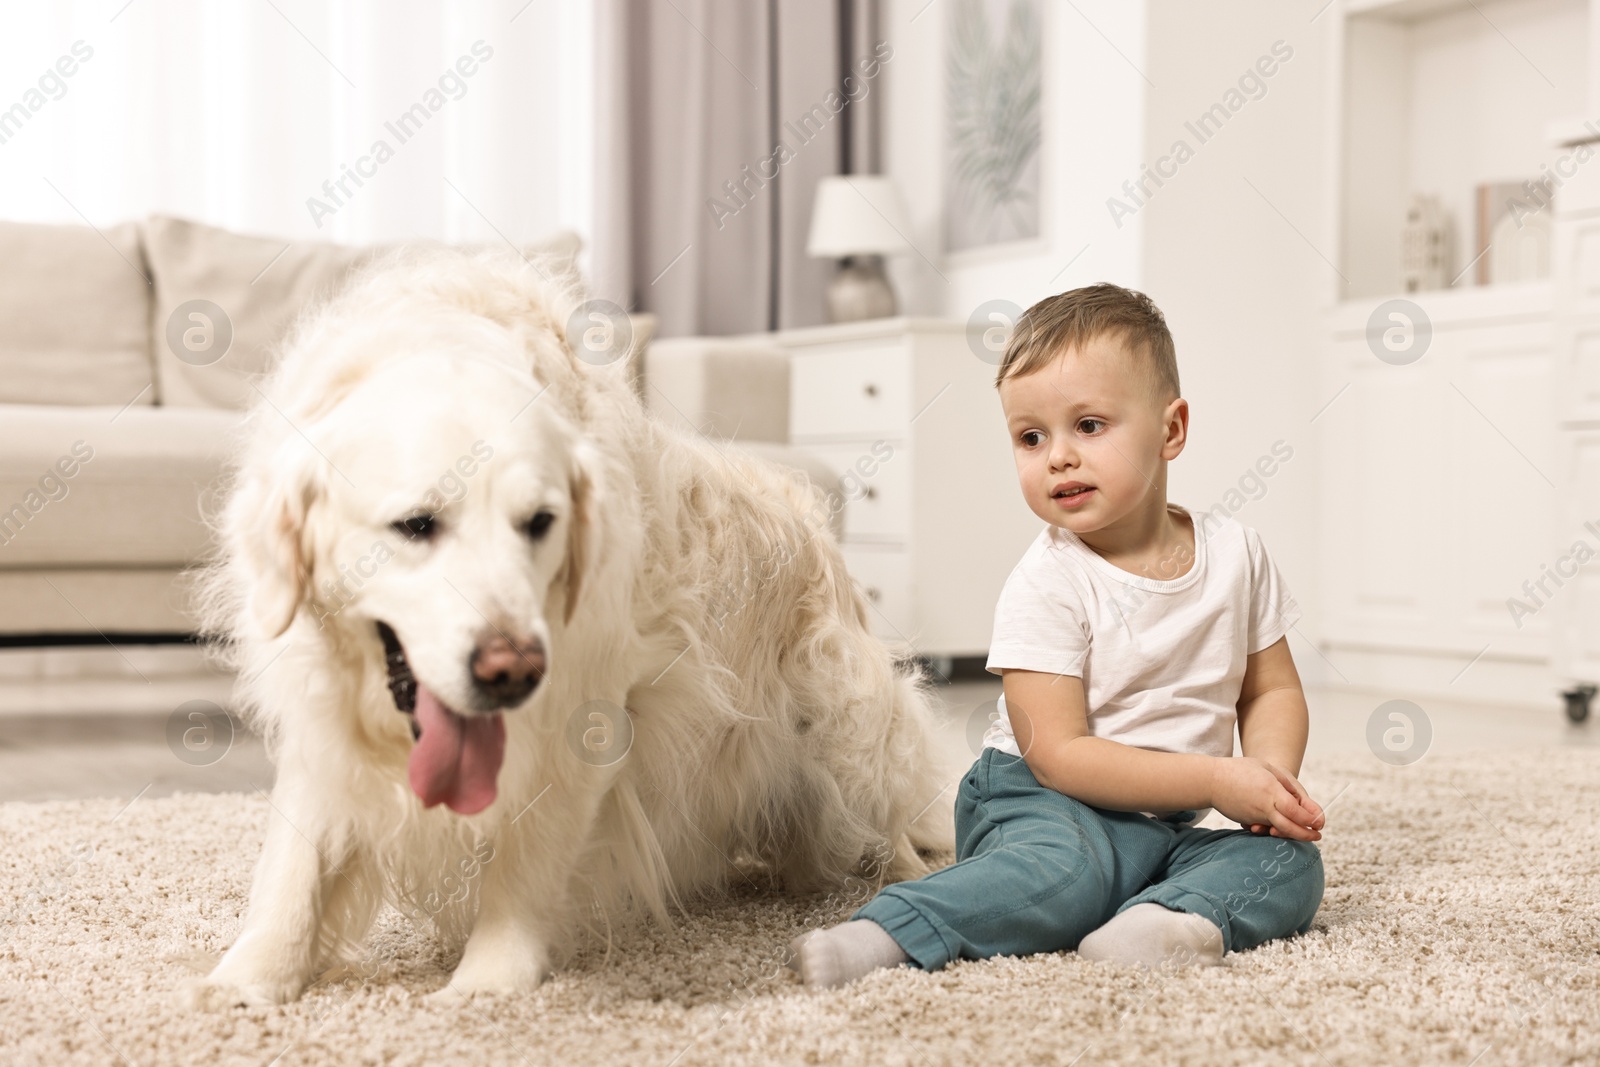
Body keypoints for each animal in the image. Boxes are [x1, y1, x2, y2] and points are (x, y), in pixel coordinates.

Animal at [178, 251, 947, 1011]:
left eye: (540, 522)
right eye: (416, 524)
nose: (511, 669)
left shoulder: (584, 709)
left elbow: (528, 858)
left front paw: (489, 982)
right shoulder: (319, 712)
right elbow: (296, 859)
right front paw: (249, 976)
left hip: (851, 739)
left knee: (897, 828)